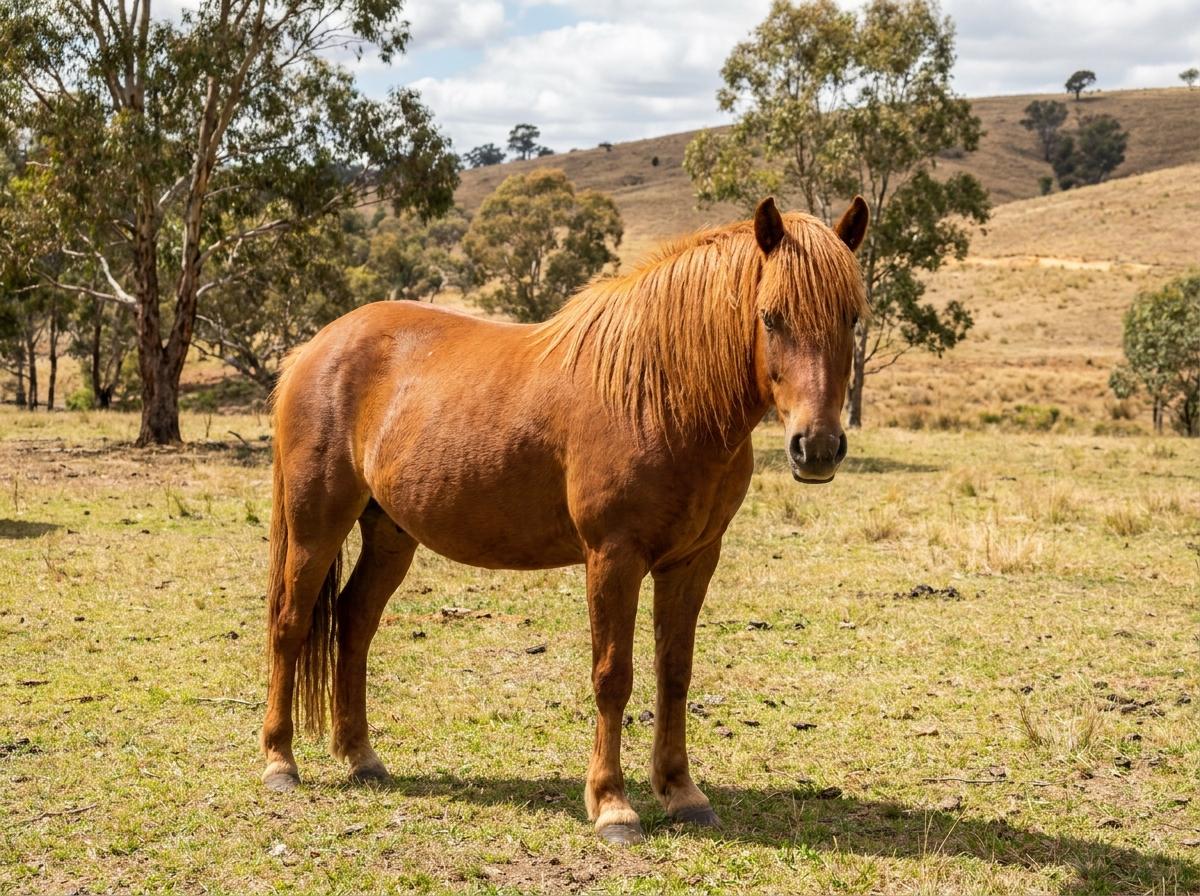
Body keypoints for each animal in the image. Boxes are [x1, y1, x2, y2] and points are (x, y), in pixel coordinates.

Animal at [260, 195, 869, 845]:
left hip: (390, 534)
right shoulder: (613, 556)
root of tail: (314, 348)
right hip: (316, 525)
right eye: (771, 318)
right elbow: (613, 676)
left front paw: (682, 794)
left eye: (851, 318)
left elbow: (674, 673)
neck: (659, 393)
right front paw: (612, 806)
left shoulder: (692, 560)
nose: (817, 447)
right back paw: (280, 762)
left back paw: (361, 757)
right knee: (291, 624)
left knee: (354, 622)